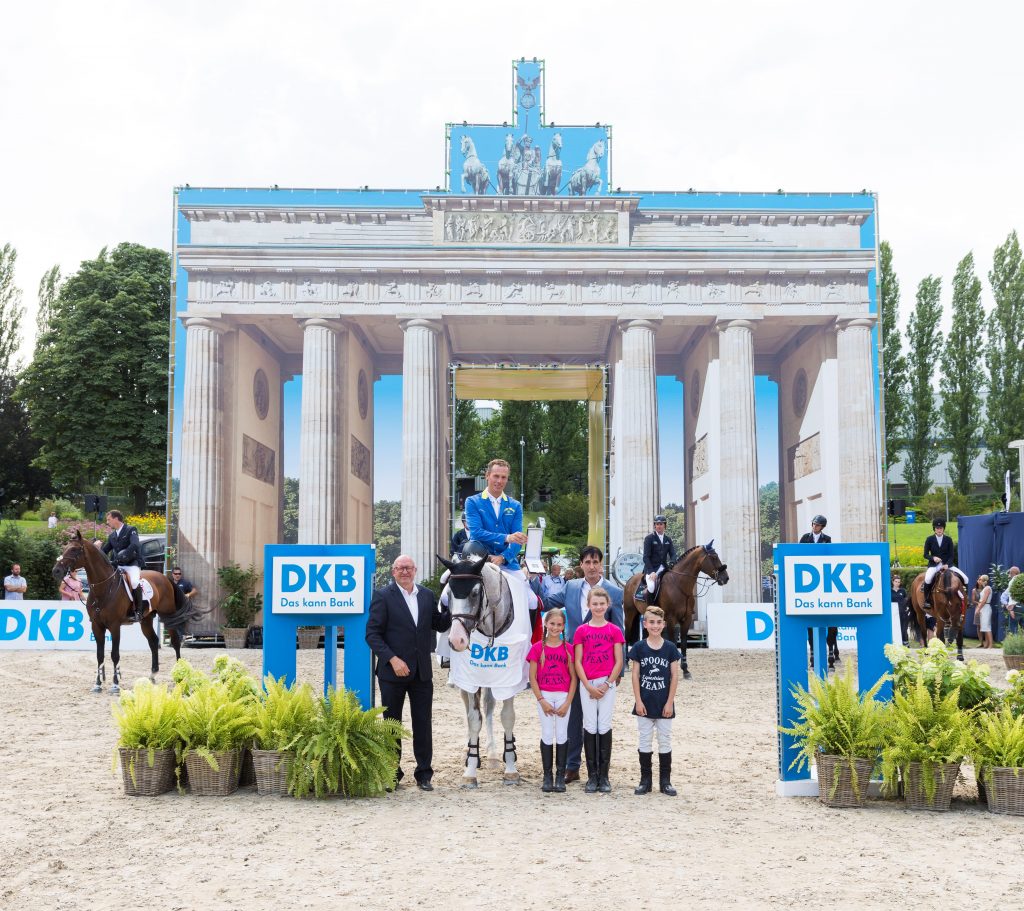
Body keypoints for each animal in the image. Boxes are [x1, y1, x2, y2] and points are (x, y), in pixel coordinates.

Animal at [51, 528, 193, 691]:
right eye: (64, 548)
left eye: (74, 550)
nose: (56, 571)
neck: (103, 588)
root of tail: (164, 577)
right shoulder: (97, 626)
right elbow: (99, 655)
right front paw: (98, 684)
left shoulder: (114, 626)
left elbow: (115, 654)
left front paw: (115, 684)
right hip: (146, 620)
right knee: (153, 642)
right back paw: (152, 675)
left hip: (167, 615)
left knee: (175, 642)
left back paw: (180, 676)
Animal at [438, 548, 520, 786]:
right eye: (448, 592)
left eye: (475, 593)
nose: (457, 640)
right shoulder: (470, 678)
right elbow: (474, 719)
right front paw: (470, 770)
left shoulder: (509, 677)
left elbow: (507, 716)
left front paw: (510, 768)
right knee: (471, 709)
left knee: (490, 706)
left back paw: (493, 754)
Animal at [618, 540, 733, 675]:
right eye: (714, 557)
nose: (725, 578)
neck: (680, 585)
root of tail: (630, 580)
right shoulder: (671, 618)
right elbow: (673, 642)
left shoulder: (686, 619)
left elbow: (683, 643)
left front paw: (685, 669)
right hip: (629, 613)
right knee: (627, 635)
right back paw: (626, 664)